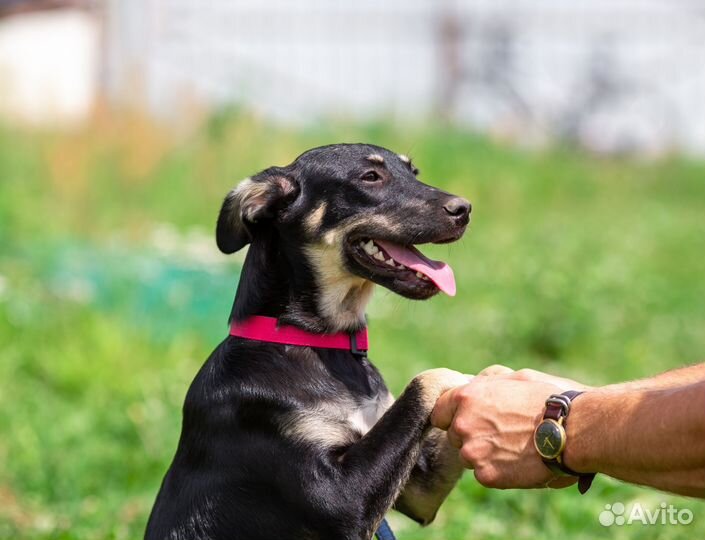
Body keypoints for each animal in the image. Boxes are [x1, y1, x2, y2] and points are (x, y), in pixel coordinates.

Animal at [145, 141, 470, 536]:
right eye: (370, 176)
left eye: (414, 172)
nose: (465, 210)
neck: (318, 344)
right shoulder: (341, 498)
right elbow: (426, 378)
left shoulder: (420, 492)